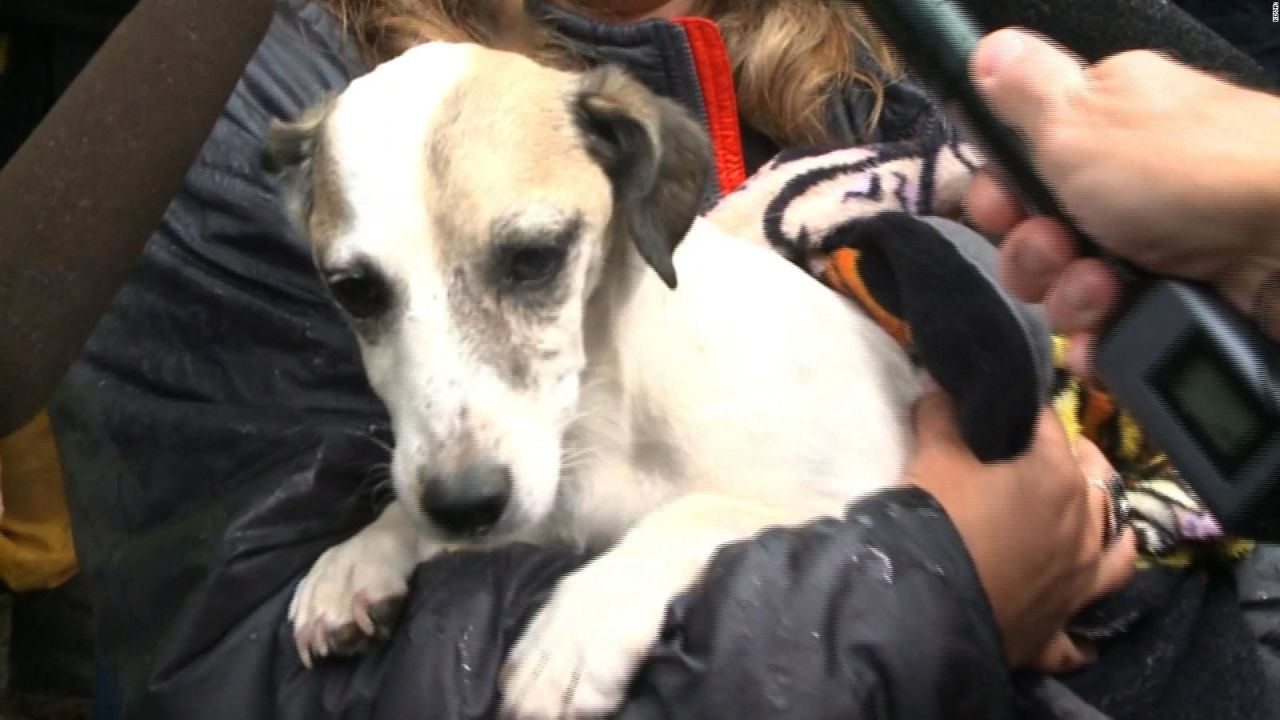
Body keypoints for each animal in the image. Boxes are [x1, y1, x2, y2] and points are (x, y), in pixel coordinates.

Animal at [264, 43, 921, 717]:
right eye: (354, 290)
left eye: (534, 257)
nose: (463, 508)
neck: (602, 415)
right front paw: (364, 554)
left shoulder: (838, 489)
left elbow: (688, 515)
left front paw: (573, 636)